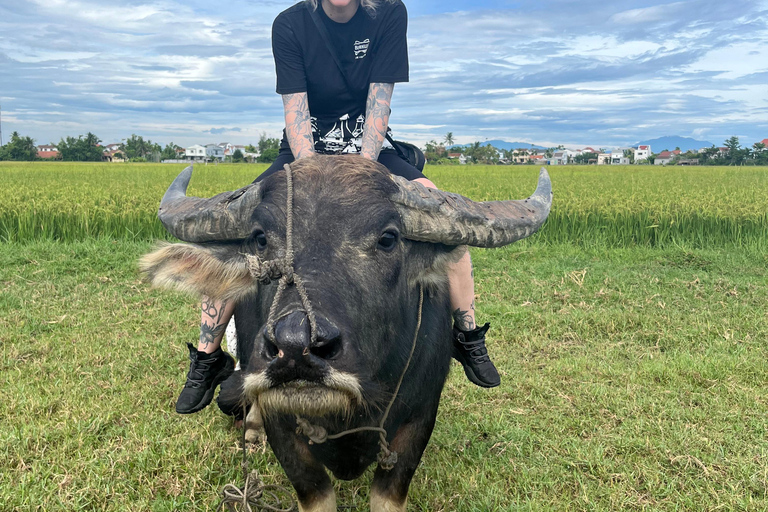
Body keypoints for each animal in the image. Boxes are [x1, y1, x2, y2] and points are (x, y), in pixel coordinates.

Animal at [141, 157, 548, 512]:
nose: (296, 347)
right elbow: (313, 490)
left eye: (388, 239)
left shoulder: (418, 419)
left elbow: (390, 492)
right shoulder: (283, 427)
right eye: (259, 238)